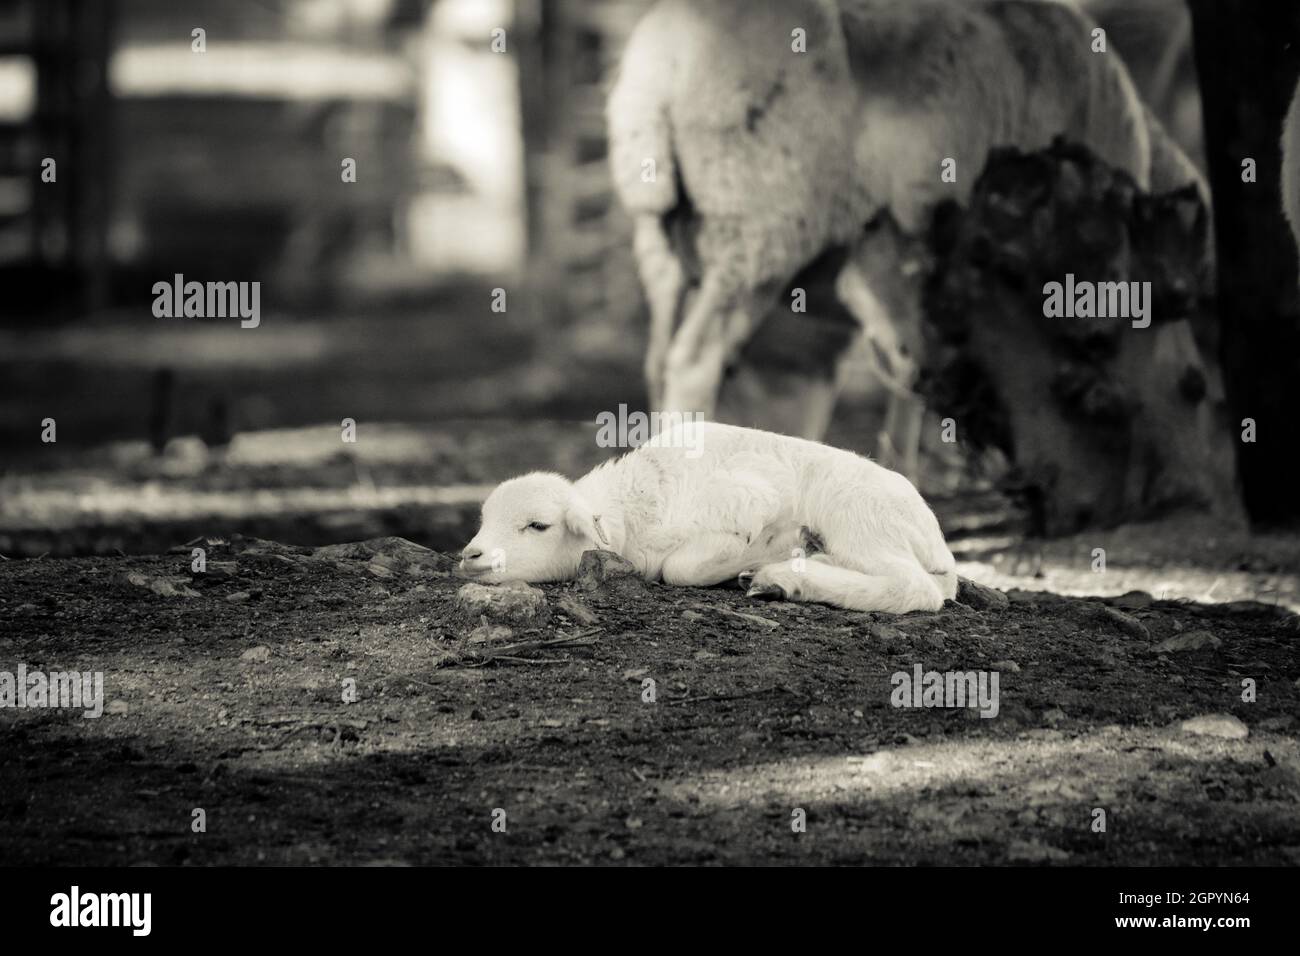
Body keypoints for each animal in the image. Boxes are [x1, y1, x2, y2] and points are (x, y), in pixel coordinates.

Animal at [457, 421, 956, 616]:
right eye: (484, 519)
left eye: (537, 526)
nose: (471, 556)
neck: (633, 505)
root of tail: (941, 549)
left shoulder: (751, 497)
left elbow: (681, 568)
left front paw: (767, 547)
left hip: (858, 515)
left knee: (912, 587)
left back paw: (781, 574)